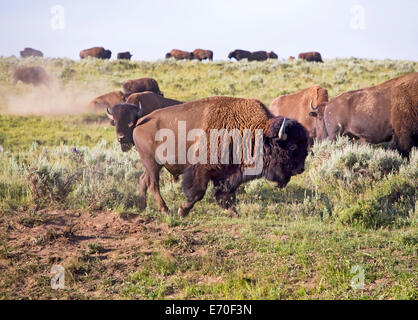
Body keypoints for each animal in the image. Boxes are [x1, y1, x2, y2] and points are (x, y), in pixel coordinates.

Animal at [108, 95, 308, 216]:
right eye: (291, 146)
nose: (300, 168)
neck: (253, 132)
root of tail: (139, 123)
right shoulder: (201, 169)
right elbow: (198, 193)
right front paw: (182, 211)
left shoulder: (229, 173)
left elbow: (226, 194)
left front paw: (233, 213)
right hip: (152, 162)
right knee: (153, 183)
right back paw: (165, 210)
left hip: (151, 164)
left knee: (143, 180)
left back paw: (142, 208)